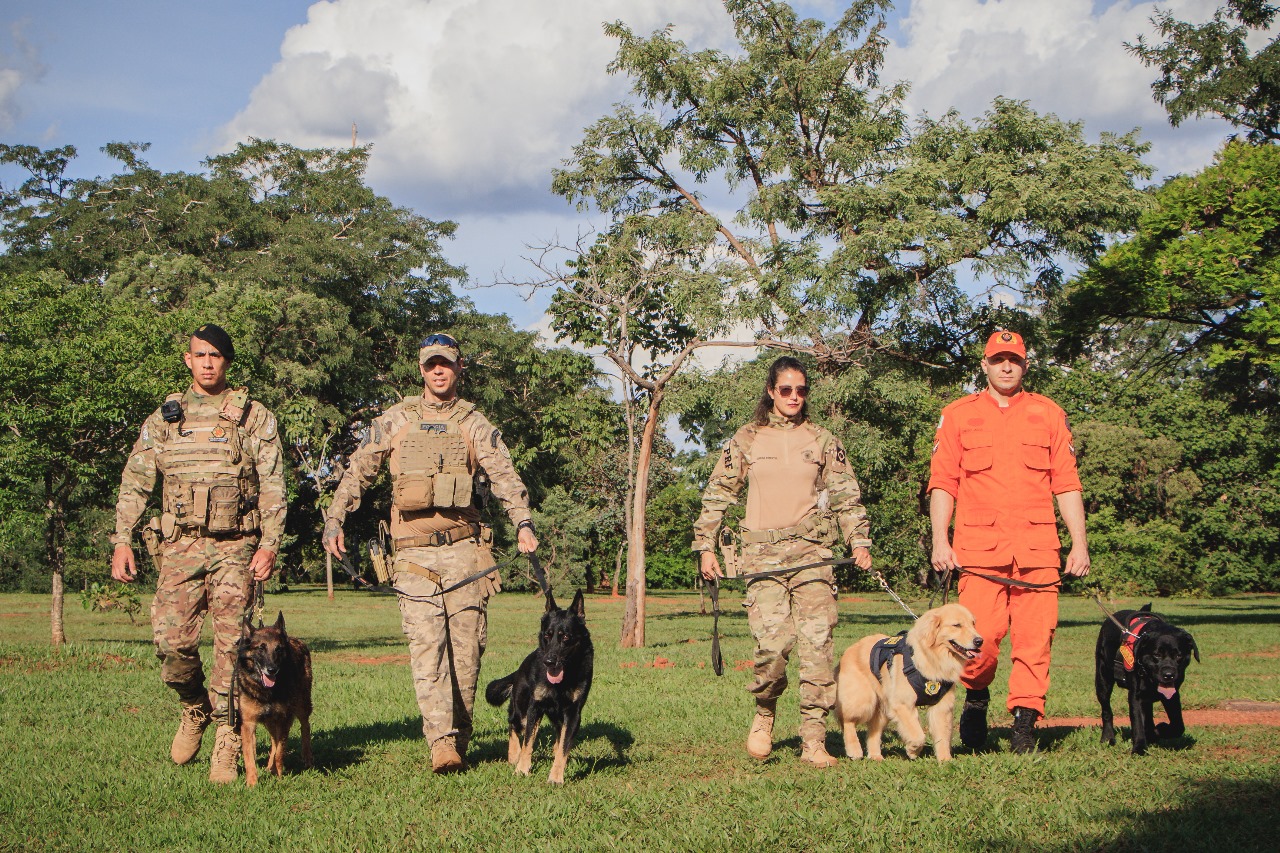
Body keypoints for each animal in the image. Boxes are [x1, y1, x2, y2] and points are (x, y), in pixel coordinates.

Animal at [236, 612, 313, 783]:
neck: (266, 691)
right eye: (261, 648)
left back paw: (307, 758)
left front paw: (278, 775)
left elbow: (280, 751)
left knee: (305, 727)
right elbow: (250, 758)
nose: (272, 670)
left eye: (278, 649)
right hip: (270, 721)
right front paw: (252, 783)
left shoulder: (284, 719)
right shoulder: (248, 723)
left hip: (301, 706)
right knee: (273, 740)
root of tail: (295, 639)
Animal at [483, 589, 593, 778]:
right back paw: (514, 754)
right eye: (547, 635)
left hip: (557, 716)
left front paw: (556, 777)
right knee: (512, 723)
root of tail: (520, 668)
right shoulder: (535, 707)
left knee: (558, 736)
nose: (548, 662)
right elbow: (528, 743)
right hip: (522, 710)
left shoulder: (573, 713)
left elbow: (564, 747)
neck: (563, 680)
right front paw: (522, 769)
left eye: (566, 637)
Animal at [834, 601, 983, 758]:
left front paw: (945, 760)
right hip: (863, 700)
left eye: (973, 624)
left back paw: (876, 756)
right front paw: (913, 750)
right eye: (957, 625)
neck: (932, 658)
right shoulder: (903, 703)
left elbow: (942, 737)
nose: (980, 641)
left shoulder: (942, 707)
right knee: (848, 720)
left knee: (873, 731)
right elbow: (918, 735)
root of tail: (849, 650)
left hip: (883, 708)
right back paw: (854, 749)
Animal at [1100, 601, 1198, 753]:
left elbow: (1178, 725)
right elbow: (1138, 722)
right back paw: (1108, 737)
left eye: (1179, 655)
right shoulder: (1135, 696)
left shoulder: (1173, 694)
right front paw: (1139, 748)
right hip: (1103, 681)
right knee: (1106, 711)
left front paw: (1160, 729)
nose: (1168, 675)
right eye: (1156, 655)